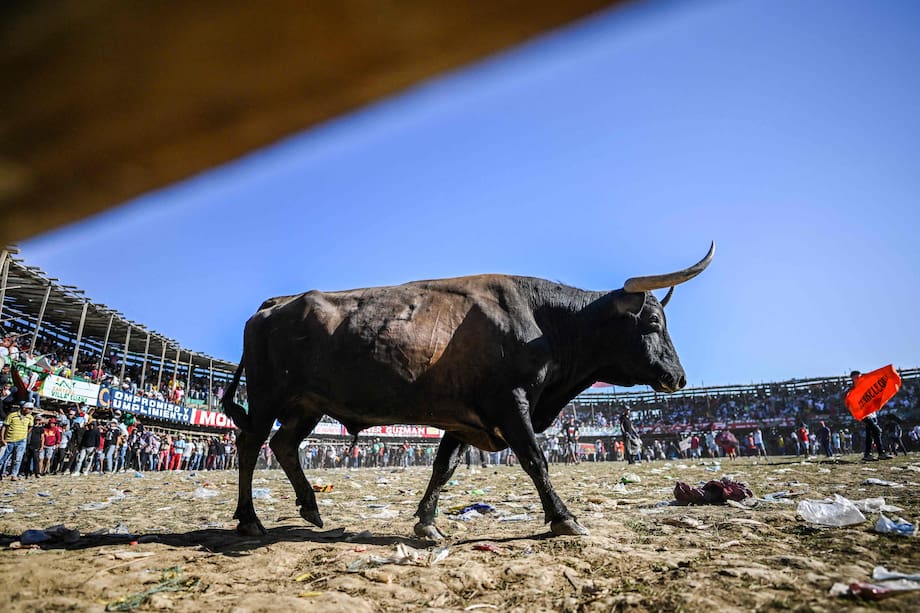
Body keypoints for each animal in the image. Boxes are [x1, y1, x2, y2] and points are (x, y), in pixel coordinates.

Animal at [222, 243, 714, 538]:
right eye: (653, 323)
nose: (679, 378)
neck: (543, 321)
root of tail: (276, 304)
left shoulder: (462, 417)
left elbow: (445, 467)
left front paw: (426, 523)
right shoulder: (510, 403)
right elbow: (535, 460)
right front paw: (564, 517)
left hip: (306, 405)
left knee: (283, 445)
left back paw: (310, 507)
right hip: (266, 397)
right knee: (249, 445)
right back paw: (250, 520)